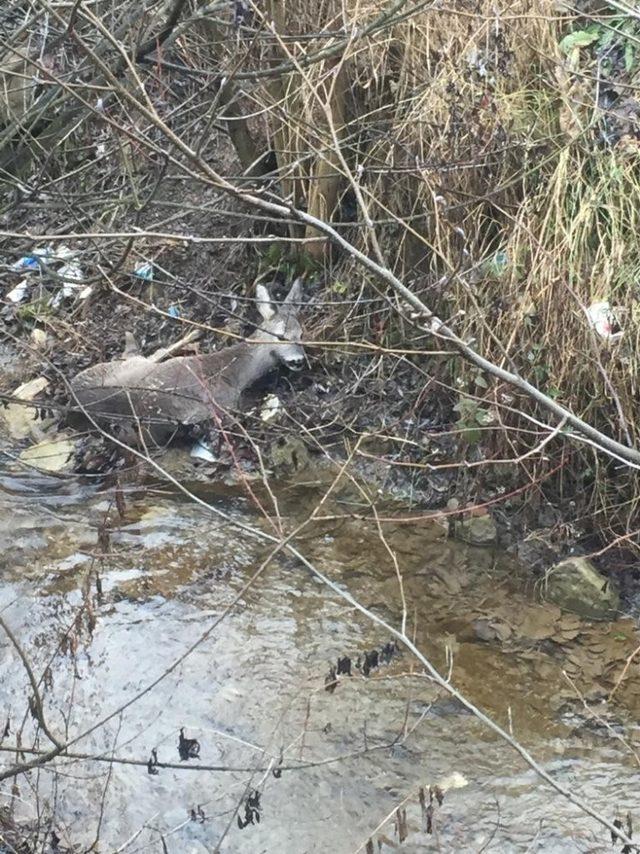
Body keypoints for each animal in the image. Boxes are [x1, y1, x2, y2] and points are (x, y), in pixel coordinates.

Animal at [69, 280, 304, 448]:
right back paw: (193, 332)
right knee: (154, 352)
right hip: (139, 364)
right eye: (281, 336)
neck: (234, 372)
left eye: (302, 334)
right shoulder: (224, 407)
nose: (299, 360)